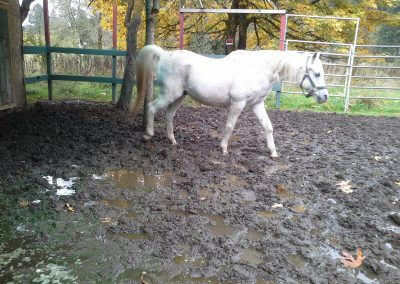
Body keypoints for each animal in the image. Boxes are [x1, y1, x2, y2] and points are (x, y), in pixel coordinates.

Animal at [133, 46, 326, 158]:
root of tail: (164, 54)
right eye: (317, 73)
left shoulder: (256, 104)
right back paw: (147, 135)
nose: (325, 97)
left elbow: (268, 127)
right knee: (151, 108)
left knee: (169, 115)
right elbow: (230, 126)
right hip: (169, 94)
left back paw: (172, 141)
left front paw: (273, 152)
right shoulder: (238, 103)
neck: (257, 70)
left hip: (180, 95)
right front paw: (224, 149)